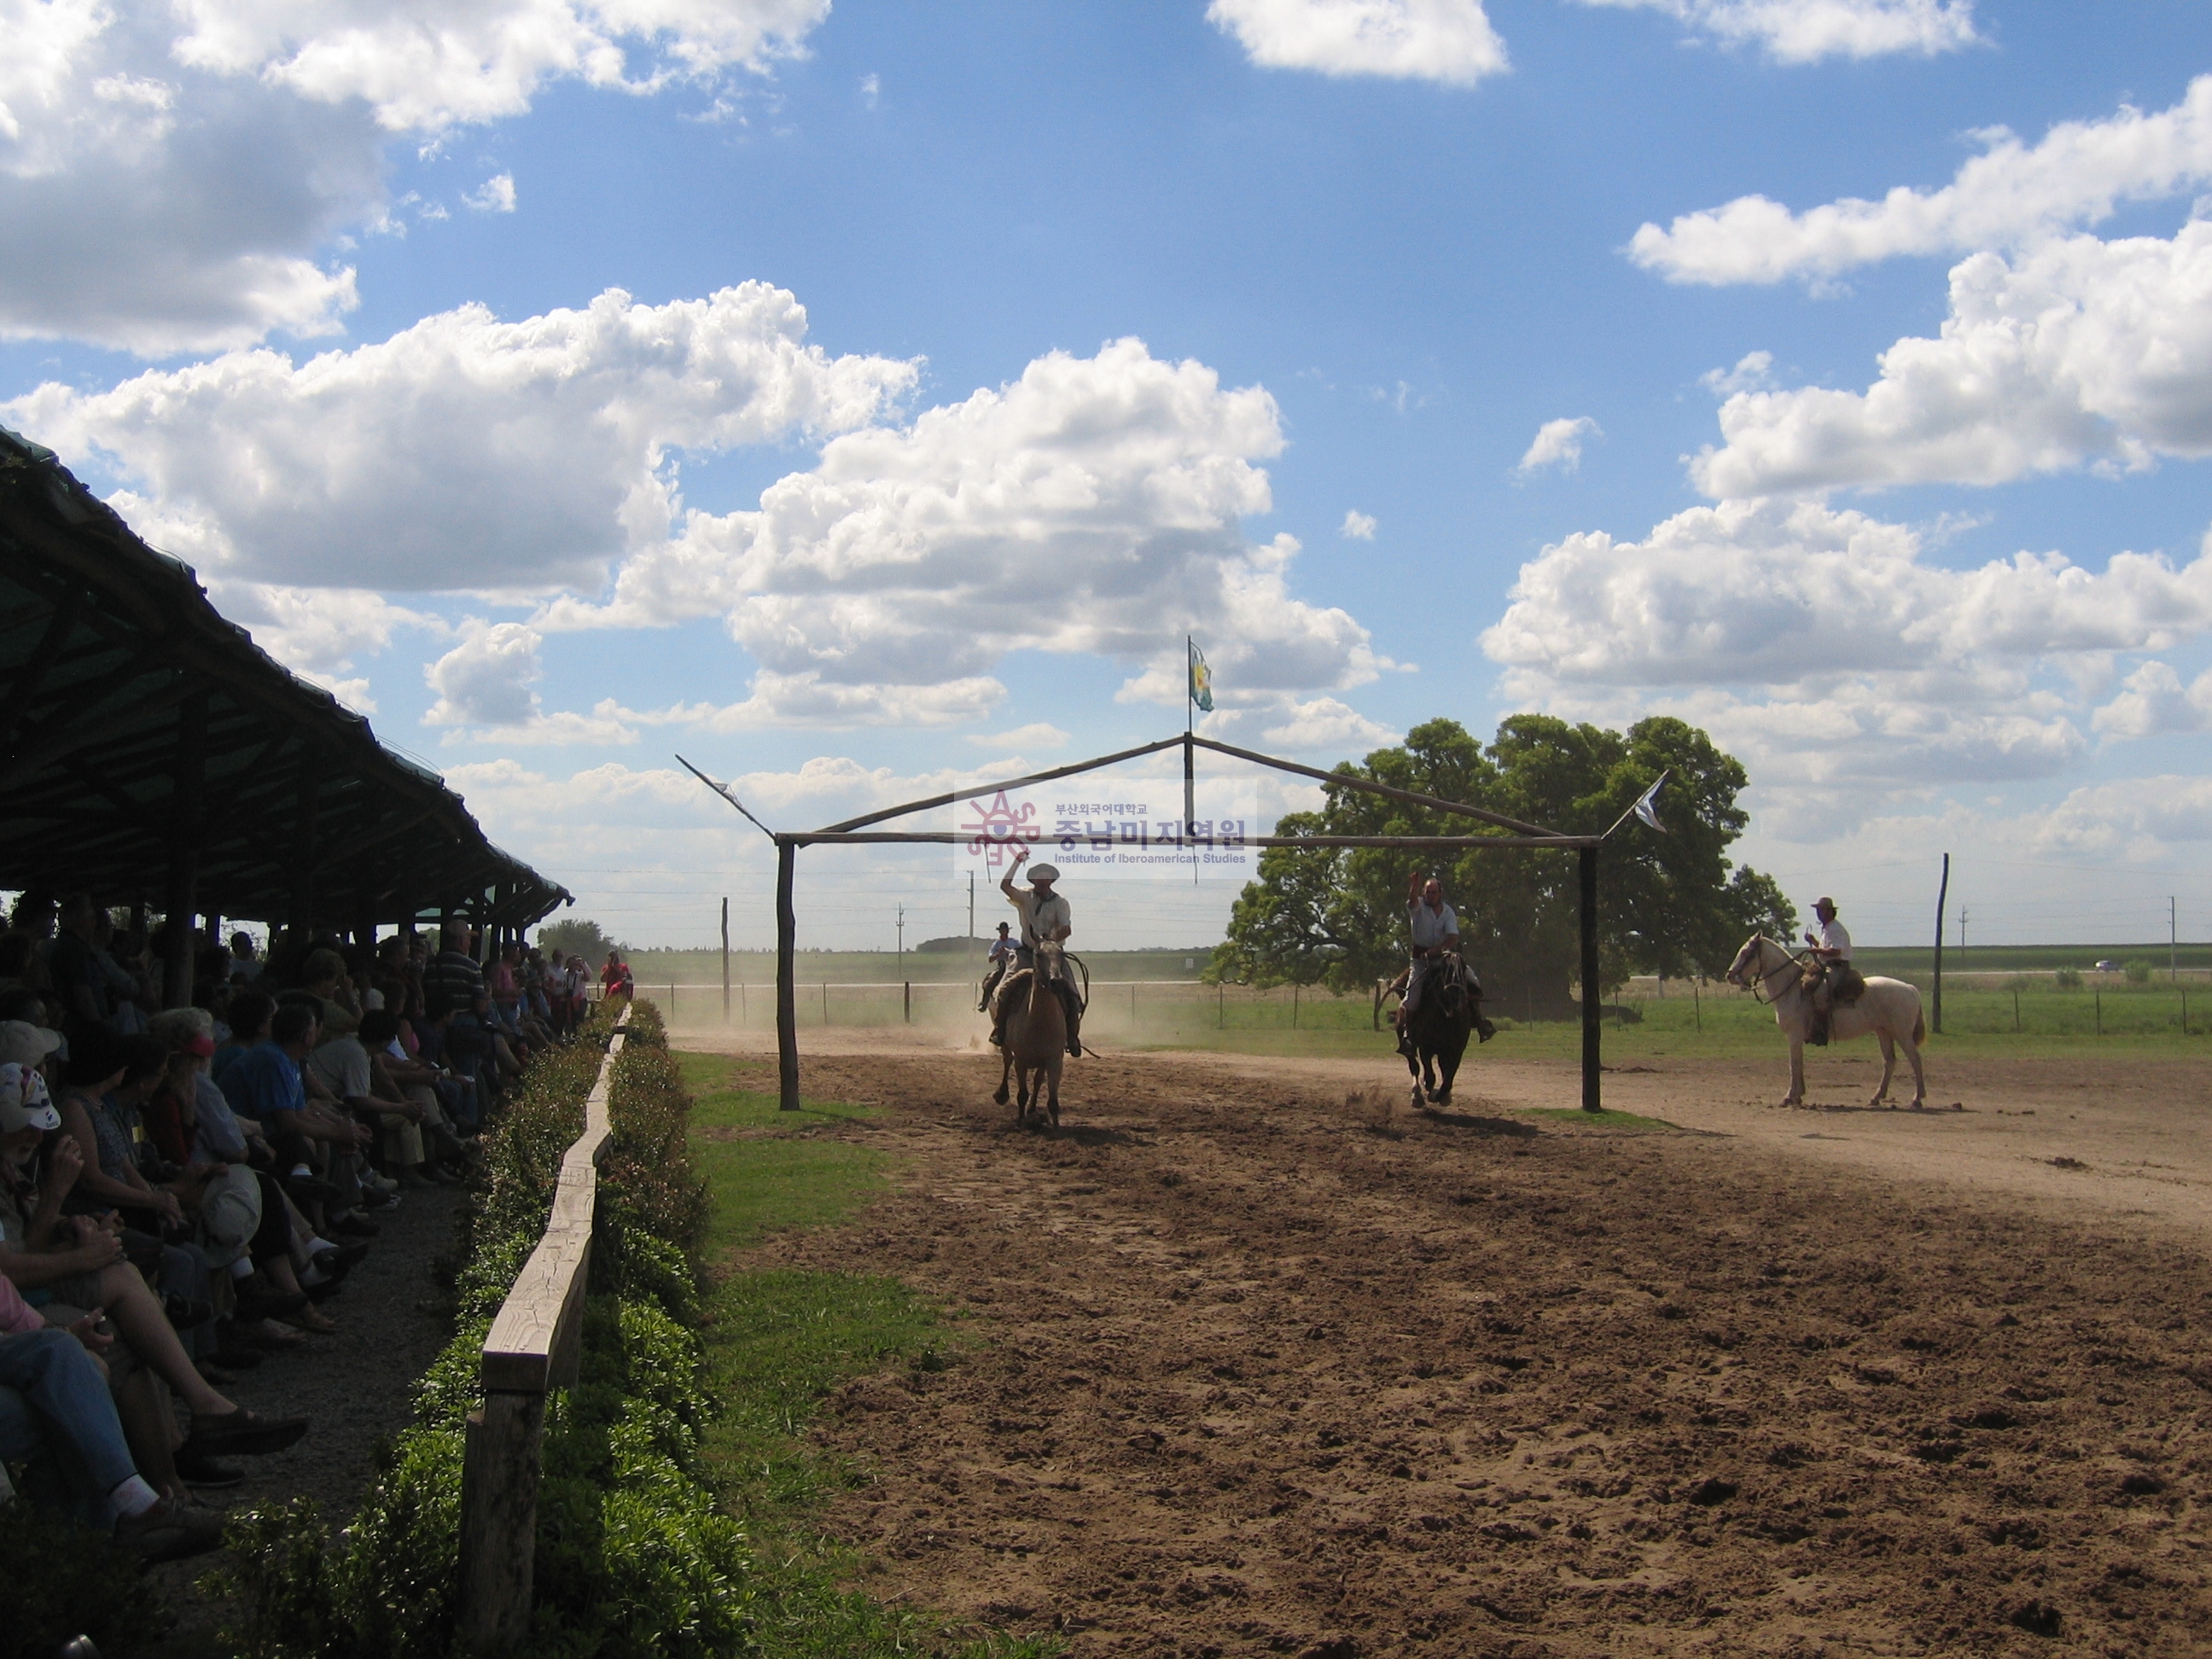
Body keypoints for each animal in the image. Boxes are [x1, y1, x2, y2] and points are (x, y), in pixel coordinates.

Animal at [991, 946, 1066, 1132]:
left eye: (1061, 954)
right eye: (1038, 954)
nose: (1056, 982)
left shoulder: (1054, 1060)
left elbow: (1052, 1099)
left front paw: (1056, 1126)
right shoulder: (1021, 1060)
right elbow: (1022, 1094)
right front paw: (1021, 1121)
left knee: (1038, 1080)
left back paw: (1032, 1110)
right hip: (1005, 1046)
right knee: (1007, 1061)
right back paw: (1002, 1094)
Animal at [1725, 942, 1919, 1110]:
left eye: (1745, 952)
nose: (1729, 975)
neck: (1792, 989)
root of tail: (1910, 988)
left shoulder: (1793, 1035)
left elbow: (1794, 1064)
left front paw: (1790, 1097)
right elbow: (1798, 1063)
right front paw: (1798, 1095)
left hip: (1902, 1034)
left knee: (1915, 1059)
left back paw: (1917, 1099)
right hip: (1884, 1032)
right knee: (1889, 1061)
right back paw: (1876, 1097)